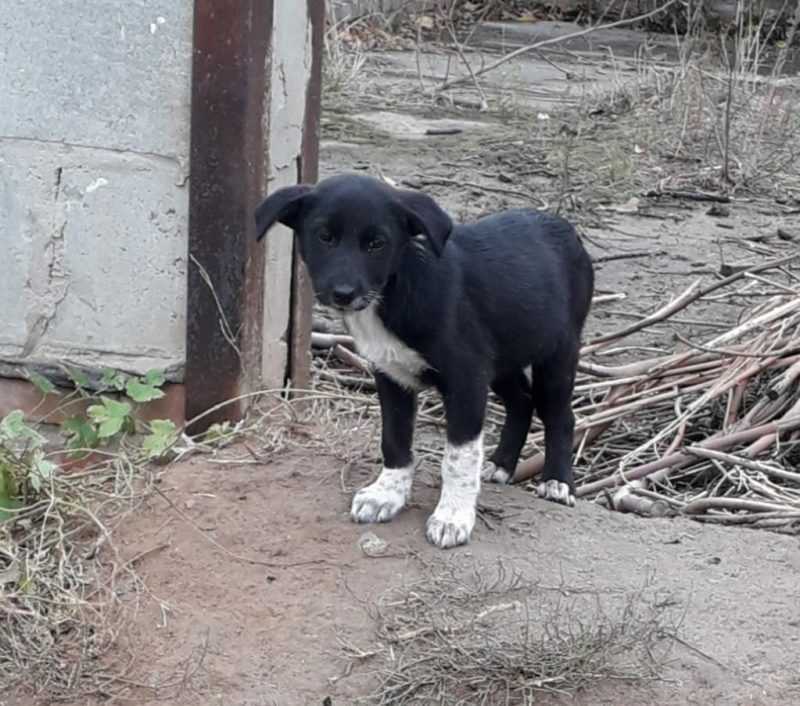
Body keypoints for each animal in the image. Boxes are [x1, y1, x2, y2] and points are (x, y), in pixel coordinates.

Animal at [256, 173, 592, 548]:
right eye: (324, 237)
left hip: (559, 351)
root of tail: (563, 226)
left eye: (377, 244)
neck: (393, 292)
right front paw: (386, 494)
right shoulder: (391, 375)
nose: (343, 293)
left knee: (560, 415)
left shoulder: (466, 379)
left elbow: (459, 457)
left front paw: (452, 516)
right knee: (521, 401)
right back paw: (500, 465)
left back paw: (557, 482)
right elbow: (394, 439)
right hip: (503, 357)